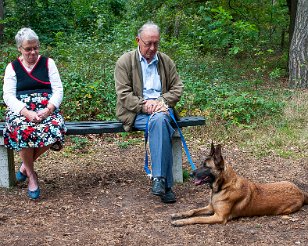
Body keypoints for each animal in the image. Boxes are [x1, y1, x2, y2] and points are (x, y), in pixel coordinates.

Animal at [171, 143, 308, 226]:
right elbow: (192, 211)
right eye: (201, 164)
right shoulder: (210, 208)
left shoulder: (219, 217)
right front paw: (179, 214)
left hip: (284, 210)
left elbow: (196, 218)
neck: (223, 186)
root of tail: (300, 192)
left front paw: (180, 222)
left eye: (206, 166)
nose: (190, 174)